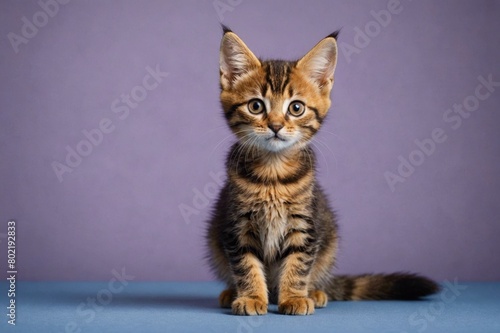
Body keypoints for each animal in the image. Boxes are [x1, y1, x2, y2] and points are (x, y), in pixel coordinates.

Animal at [205, 27, 440, 316]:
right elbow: (246, 265)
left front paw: (294, 297)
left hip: (329, 241)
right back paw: (233, 293)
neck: (273, 174)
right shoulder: (237, 226)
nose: (275, 126)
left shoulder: (305, 224)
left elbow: (298, 264)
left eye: (296, 108)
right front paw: (251, 297)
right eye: (256, 106)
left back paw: (314, 292)